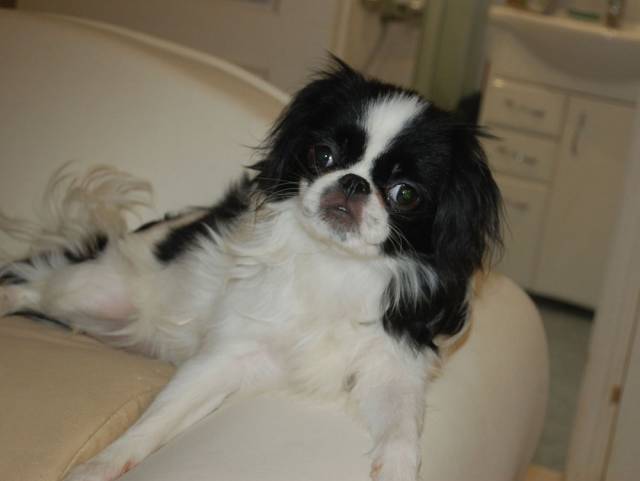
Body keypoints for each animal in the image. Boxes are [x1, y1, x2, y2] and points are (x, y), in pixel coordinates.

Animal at [0, 59, 501, 481]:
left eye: (405, 194)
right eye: (323, 155)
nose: (353, 183)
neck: (334, 266)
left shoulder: (392, 367)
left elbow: (401, 430)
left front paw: (397, 469)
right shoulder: (227, 356)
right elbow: (157, 419)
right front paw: (99, 466)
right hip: (91, 289)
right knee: (32, 282)